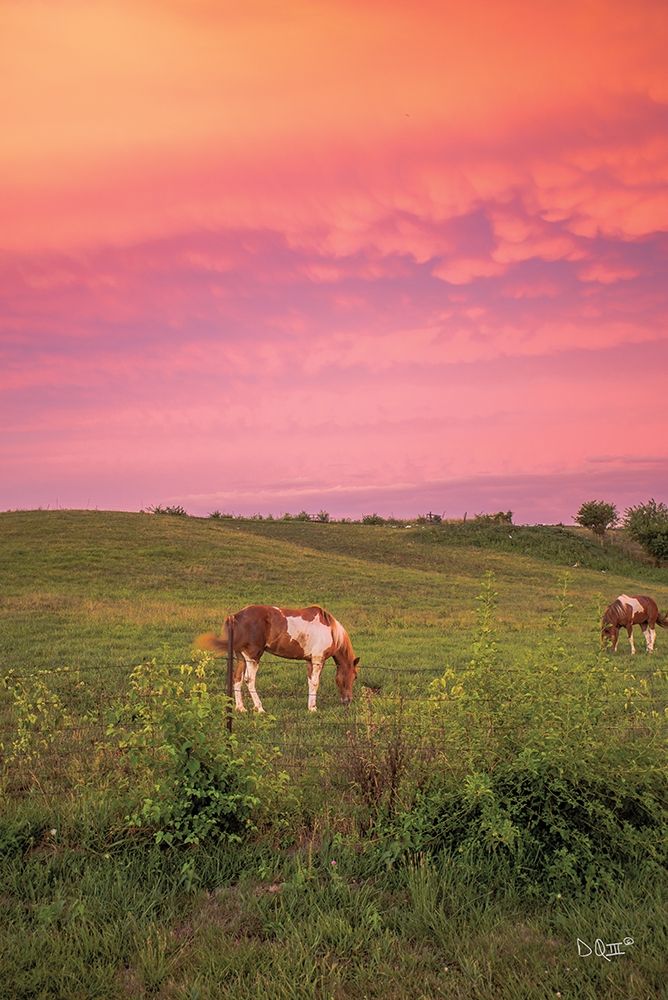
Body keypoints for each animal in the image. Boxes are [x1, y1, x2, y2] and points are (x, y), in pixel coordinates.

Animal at [196, 604, 359, 712]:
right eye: (355, 676)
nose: (348, 701)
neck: (331, 631)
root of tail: (235, 616)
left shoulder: (309, 661)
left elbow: (310, 683)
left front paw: (309, 705)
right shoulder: (318, 660)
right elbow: (315, 683)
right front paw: (313, 708)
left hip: (241, 657)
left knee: (237, 679)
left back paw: (240, 708)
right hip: (253, 656)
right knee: (249, 680)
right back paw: (260, 708)